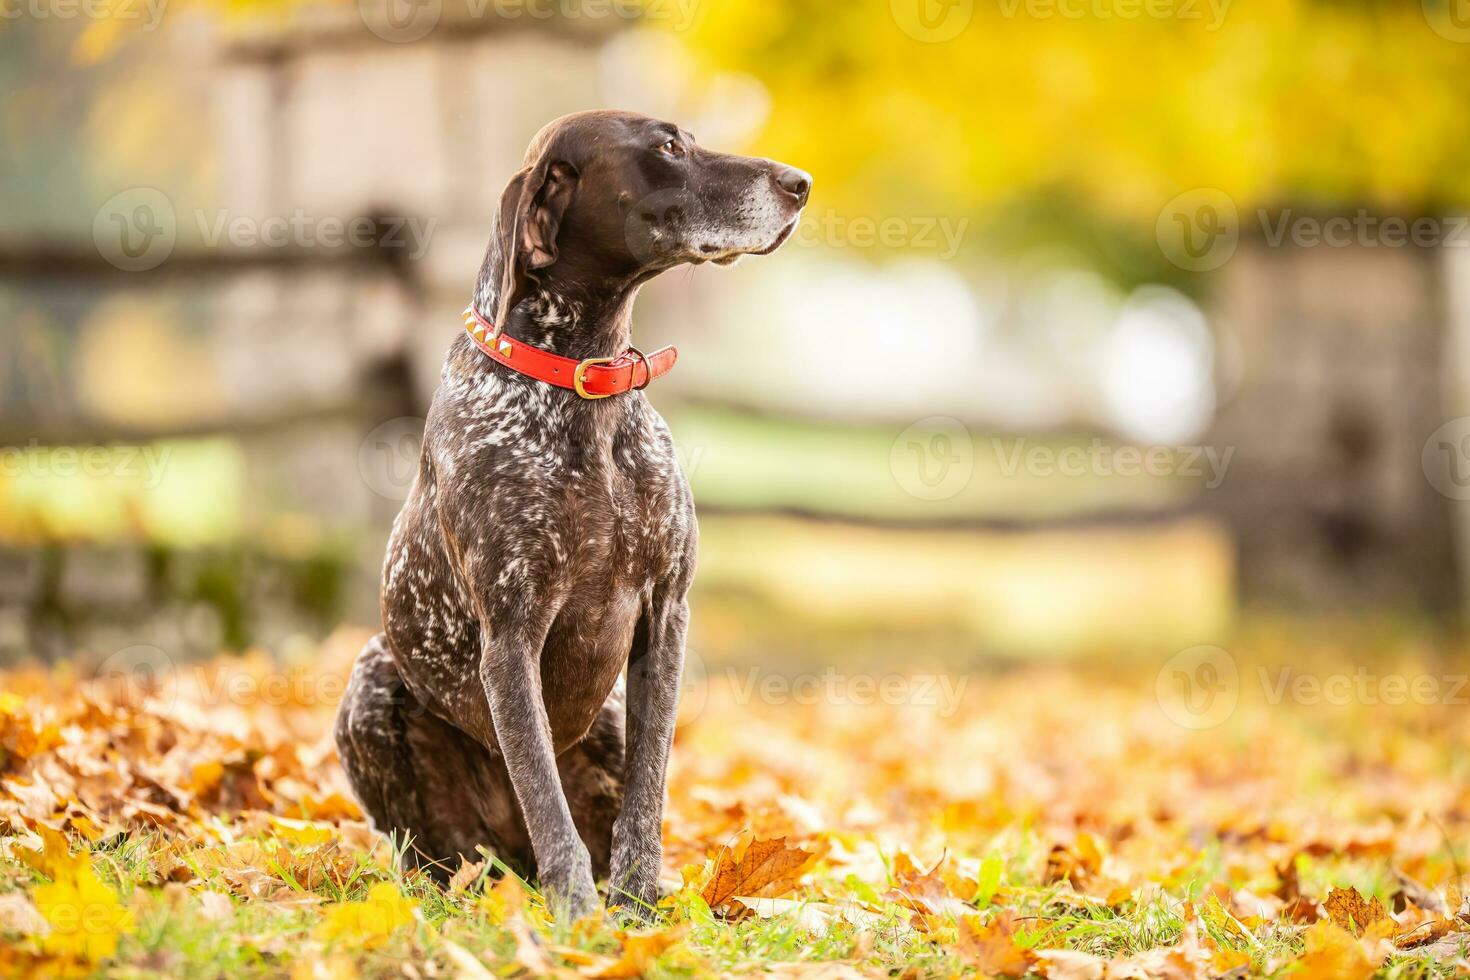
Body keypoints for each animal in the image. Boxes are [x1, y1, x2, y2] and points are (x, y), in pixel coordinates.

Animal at [336, 110, 817, 922]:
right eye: (666, 147)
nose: (800, 182)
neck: (582, 385)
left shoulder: (665, 616)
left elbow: (647, 790)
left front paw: (639, 904)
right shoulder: (511, 635)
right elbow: (543, 793)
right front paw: (581, 916)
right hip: (373, 685)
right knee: (440, 854)